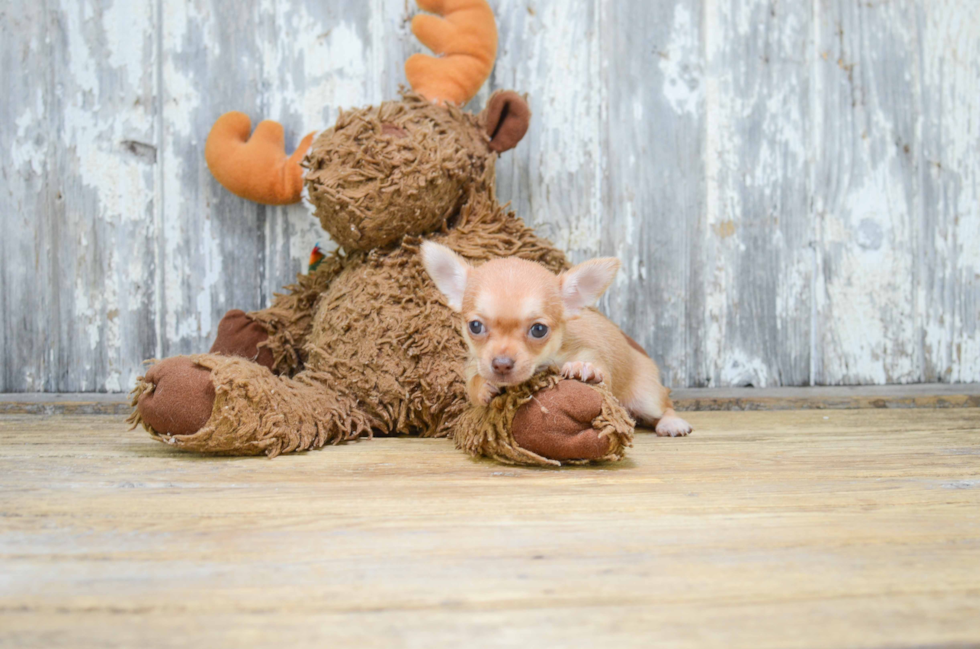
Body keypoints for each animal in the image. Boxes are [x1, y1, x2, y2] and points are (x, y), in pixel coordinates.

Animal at [420, 242, 688, 436]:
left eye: (538, 330)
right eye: (475, 326)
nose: (502, 364)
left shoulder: (589, 352)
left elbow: (598, 369)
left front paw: (584, 369)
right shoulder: (473, 365)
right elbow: (473, 385)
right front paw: (483, 385)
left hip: (646, 397)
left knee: (666, 404)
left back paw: (672, 424)